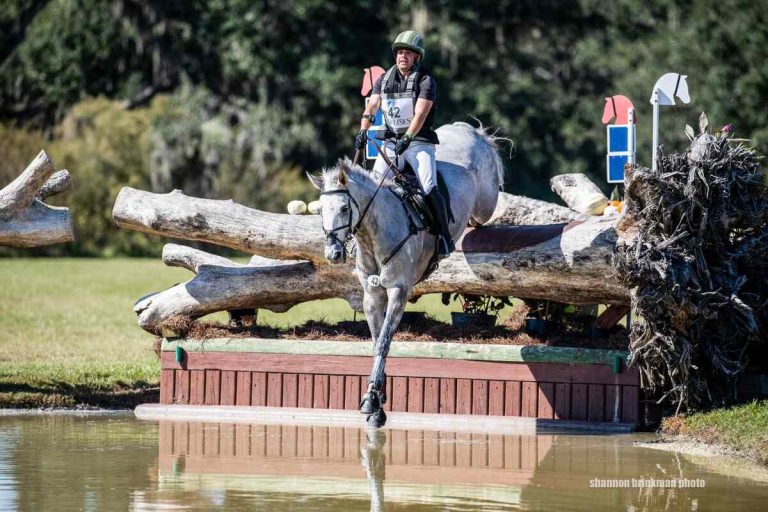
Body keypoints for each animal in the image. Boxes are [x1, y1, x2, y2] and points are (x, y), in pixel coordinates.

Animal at [307, 121, 505, 427]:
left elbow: (384, 342)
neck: (373, 234)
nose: (333, 254)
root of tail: (468, 130)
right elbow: (376, 340)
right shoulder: (372, 295)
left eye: (344, 208)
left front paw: (371, 400)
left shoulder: (398, 291)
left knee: (488, 204)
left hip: (485, 200)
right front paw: (378, 401)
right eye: (320, 212)